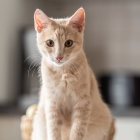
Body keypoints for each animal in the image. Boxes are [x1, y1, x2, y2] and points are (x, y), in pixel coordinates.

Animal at [31, 7, 115, 140]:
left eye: (68, 43)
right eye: (50, 42)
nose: (59, 57)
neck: (63, 73)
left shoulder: (82, 104)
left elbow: (77, 131)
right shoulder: (52, 105)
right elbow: (53, 131)